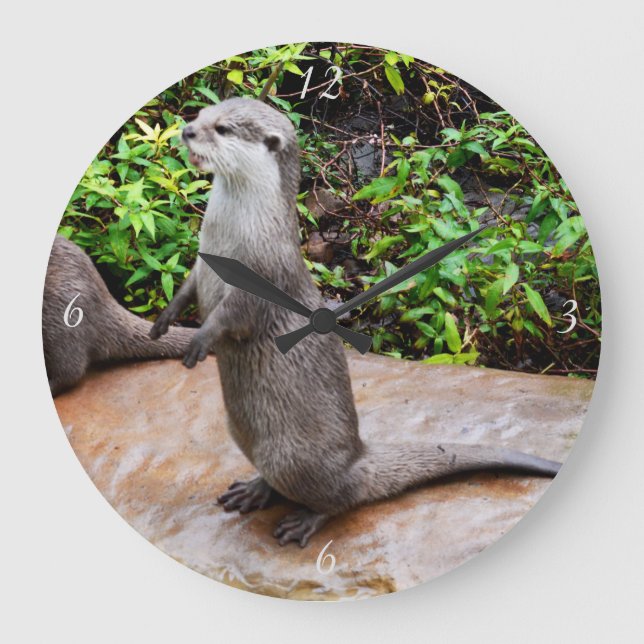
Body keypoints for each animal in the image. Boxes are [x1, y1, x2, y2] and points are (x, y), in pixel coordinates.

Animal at [151, 98, 561, 547]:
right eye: (201, 115)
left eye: (222, 129)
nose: (188, 131)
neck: (230, 236)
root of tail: (357, 457)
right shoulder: (201, 260)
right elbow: (188, 286)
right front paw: (165, 321)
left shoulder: (264, 275)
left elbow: (233, 317)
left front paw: (199, 340)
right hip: (243, 434)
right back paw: (254, 489)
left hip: (291, 457)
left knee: (343, 498)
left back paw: (304, 520)